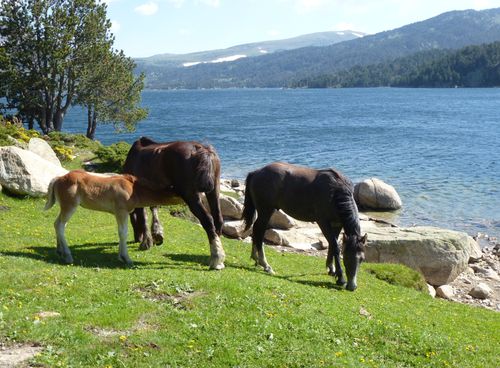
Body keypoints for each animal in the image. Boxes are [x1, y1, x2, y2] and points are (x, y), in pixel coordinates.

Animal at [123, 137, 225, 270]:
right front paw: (157, 234)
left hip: (191, 196)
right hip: (214, 190)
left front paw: (146, 242)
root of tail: (201, 149)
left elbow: (143, 217)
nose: (136, 238)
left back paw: (216, 258)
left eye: (131, 220)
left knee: (208, 220)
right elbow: (153, 209)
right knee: (218, 219)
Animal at [242, 162, 368, 292]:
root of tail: (256, 172)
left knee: (256, 230)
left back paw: (256, 259)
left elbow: (332, 246)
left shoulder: (337, 224)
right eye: (346, 258)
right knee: (259, 231)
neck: (335, 191)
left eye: (362, 259)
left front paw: (331, 269)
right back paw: (265, 265)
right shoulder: (323, 222)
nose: (352, 286)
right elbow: (335, 247)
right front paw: (341, 278)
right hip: (266, 211)